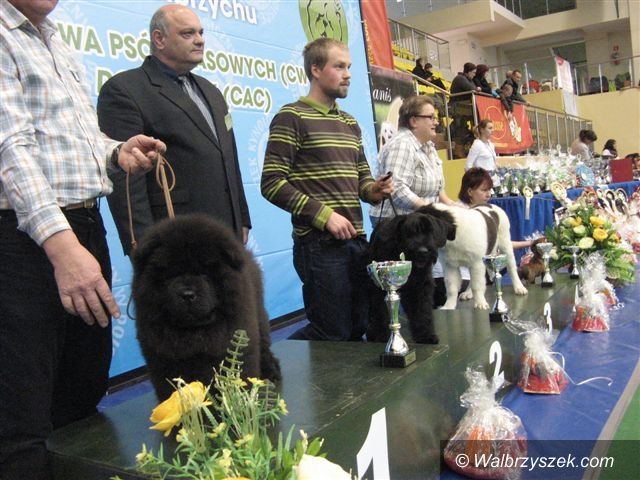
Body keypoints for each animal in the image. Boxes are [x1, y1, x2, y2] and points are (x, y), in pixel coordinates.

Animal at [131, 214, 281, 400]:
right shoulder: (162, 358)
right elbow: (170, 389)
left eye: (204, 273)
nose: (187, 294)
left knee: (264, 347)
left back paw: (271, 373)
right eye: (171, 276)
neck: (195, 331)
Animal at [367, 208, 456, 344]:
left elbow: (422, 310)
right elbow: (380, 311)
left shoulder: (420, 286)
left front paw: (425, 335)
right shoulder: (378, 288)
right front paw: (382, 336)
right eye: (408, 232)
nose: (423, 251)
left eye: (430, 231)